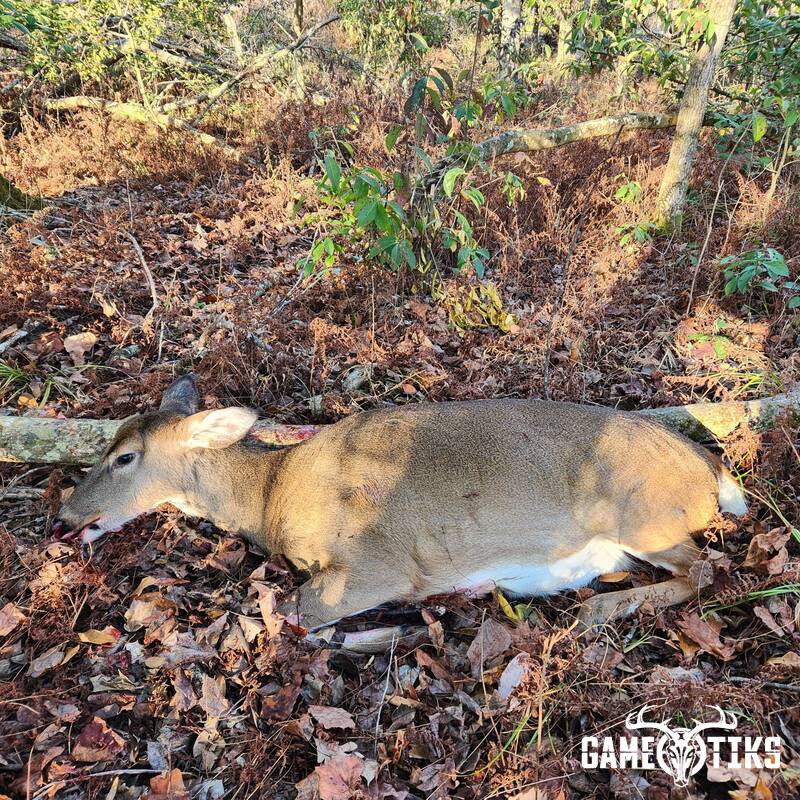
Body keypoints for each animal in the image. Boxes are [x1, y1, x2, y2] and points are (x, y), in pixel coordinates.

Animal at [53, 375, 747, 632]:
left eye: (124, 457)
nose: (64, 516)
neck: (273, 493)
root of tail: (712, 467)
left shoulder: (379, 565)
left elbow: (295, 612)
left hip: (644, 514)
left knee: (712, 571)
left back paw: (603, 610)